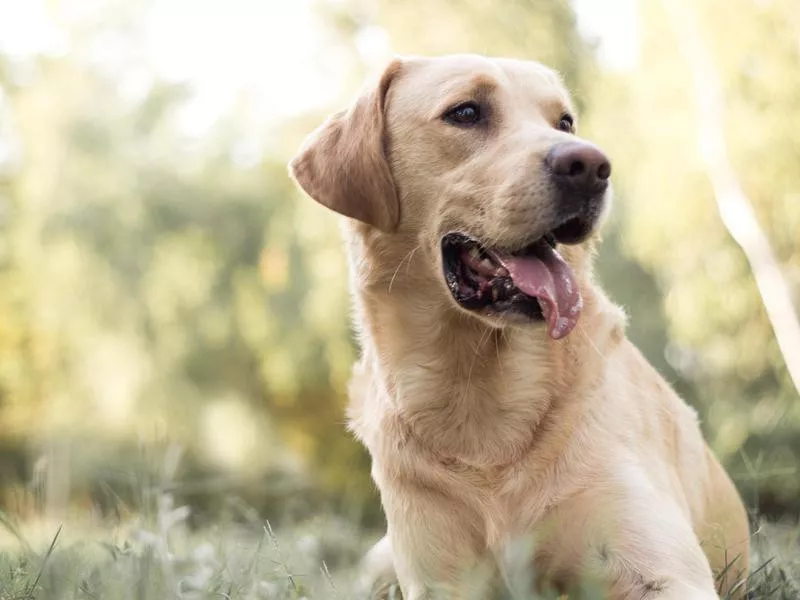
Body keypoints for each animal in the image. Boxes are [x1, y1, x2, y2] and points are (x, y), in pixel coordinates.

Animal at [290, 54, 752, 596]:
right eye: (466, 112)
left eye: (565, 122)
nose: (591, 166)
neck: (480, 391)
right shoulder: (437, 578)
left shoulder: (663, 571)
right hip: (378, 563)